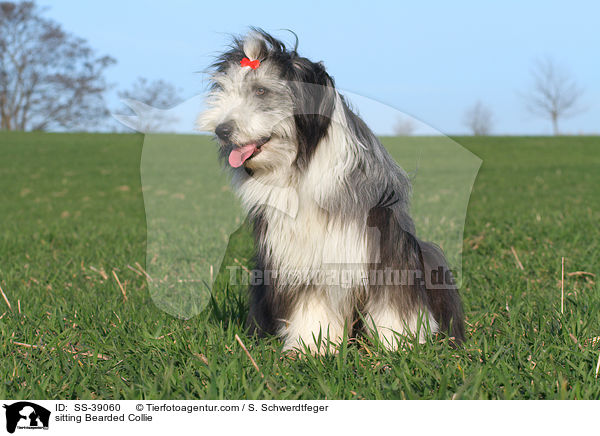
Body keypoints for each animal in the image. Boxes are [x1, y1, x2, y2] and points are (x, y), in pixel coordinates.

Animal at [199, 29, 466, 352]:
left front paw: (399, 343)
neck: (300, 163)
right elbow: (312, 302)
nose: (221, 130)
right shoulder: (301, 254)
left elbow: (393, 298)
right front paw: (313, 345)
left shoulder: (383, 245)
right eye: (225, 90)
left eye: (261, 91)